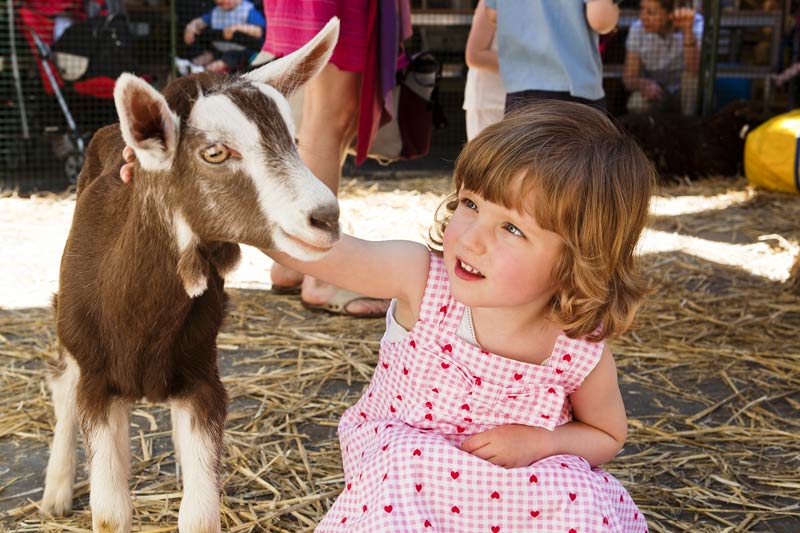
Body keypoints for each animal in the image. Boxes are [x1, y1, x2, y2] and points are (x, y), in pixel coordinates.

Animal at [41, 16, 340, 532]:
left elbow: (200, 512)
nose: (326, 217)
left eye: (294, 142)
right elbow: (110, 513)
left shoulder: (203, 380)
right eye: (215, 153)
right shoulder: (98, 382)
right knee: (64, 386)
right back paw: (55, 492)